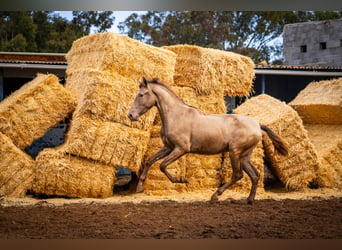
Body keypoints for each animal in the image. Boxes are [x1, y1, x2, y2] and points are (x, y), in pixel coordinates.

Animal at [127, 77, 288, 204]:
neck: (176, 115)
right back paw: (249, 200)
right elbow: (150, 161)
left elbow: (162, 165)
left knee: (238, 175)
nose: (131, 115)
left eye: (141, 95)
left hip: (234, 152)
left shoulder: (181, 148)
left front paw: (181, 180)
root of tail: (257, 124)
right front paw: (139, 187)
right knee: (255, 175)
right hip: (244, 156)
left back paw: (215, 196)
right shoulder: (168, 147)